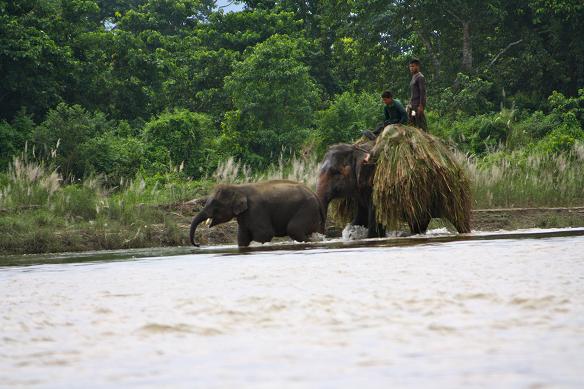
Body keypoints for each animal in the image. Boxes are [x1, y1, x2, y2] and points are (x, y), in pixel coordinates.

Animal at [189, 179, 324, 246]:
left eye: (216, 204)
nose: (198, 244)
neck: (237, 187)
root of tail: (314, 194)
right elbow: (242, 238)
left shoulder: (256, 209)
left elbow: (265, 233)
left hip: (307, 209)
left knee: (294, 229)